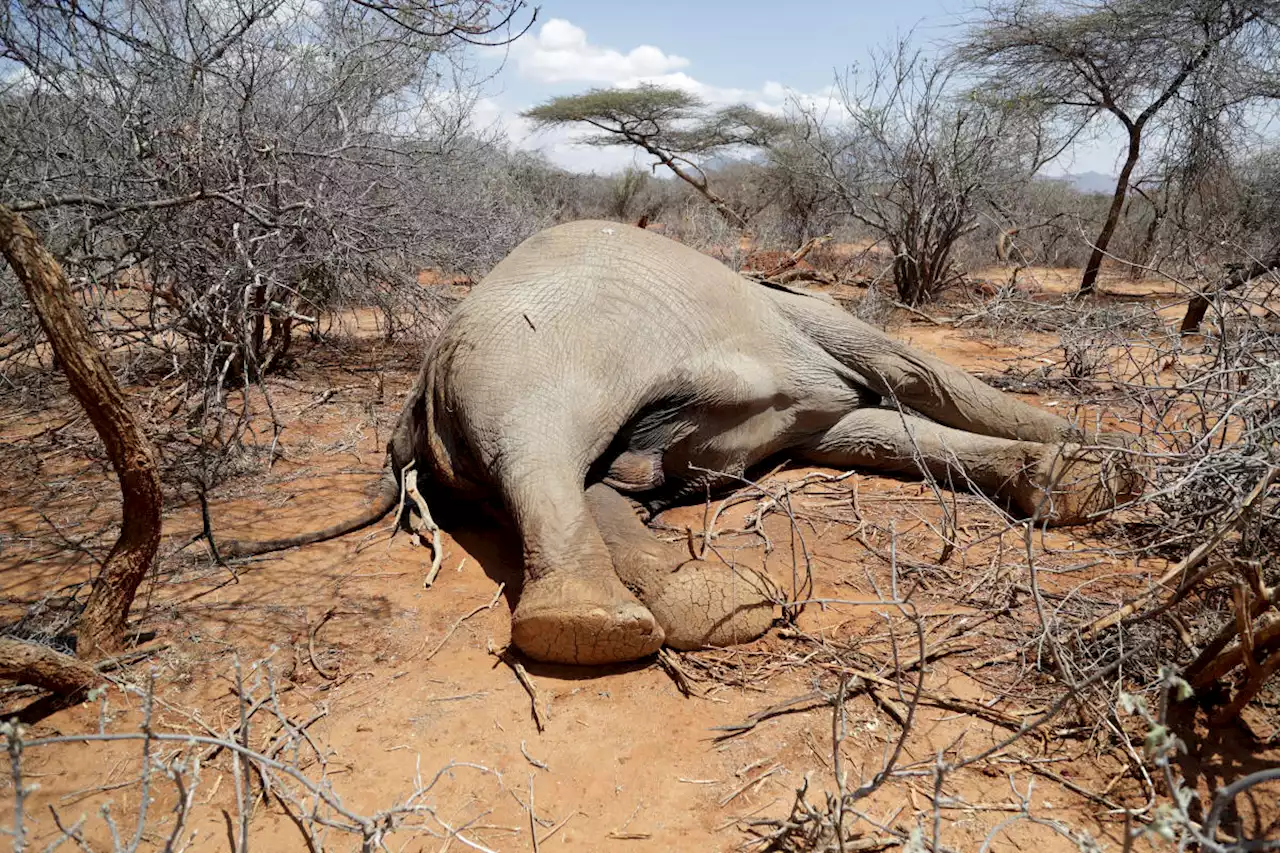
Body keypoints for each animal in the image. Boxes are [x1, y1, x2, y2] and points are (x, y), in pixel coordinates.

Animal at [220, 217, 1141, 666]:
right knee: (542, 447)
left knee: (585, 481)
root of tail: (414, 394)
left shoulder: (813, 398)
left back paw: (703, 604)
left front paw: (1079, 477)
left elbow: (879, 430)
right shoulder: (815, 322)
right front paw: (1105, 467)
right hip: (531, 349)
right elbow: (911, 375)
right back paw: (603, 625)